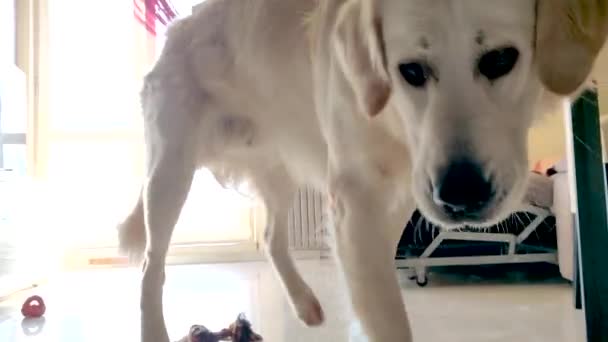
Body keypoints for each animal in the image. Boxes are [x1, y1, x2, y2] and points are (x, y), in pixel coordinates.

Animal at [116, 1, 604, 340]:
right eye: (410, 70)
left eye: (501, 59)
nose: (461, 196)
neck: (392, 119)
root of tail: (181, 25)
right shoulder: (355, 200)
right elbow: (384, 310)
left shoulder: (400, 194)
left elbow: (374, 283)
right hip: (170, 173)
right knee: (151, 265)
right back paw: (154, 330)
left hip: (278, 167)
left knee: (272, 235)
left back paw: (305, 303)